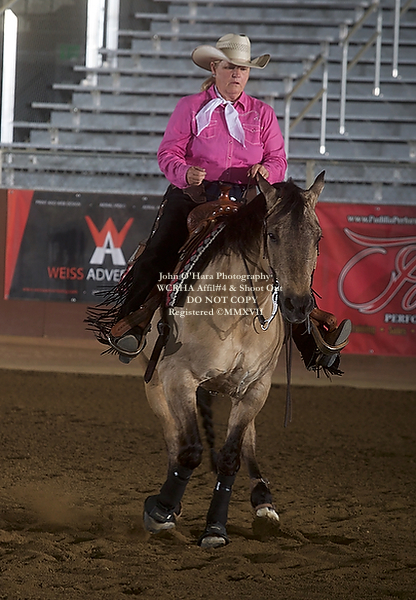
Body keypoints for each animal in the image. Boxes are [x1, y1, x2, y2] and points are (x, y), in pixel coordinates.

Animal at [139, 172, 324, 548]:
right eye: (272, 234)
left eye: (317, 237)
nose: (298, 305)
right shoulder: (178, 378)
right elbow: (189, 449)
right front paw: (162, 510)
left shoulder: (255, 388)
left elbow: (230, 457)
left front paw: (215, 528)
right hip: (156, 385)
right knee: (174, 440)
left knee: (245, 443)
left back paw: (265, 505)